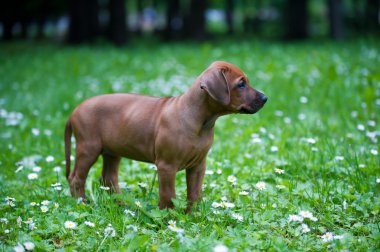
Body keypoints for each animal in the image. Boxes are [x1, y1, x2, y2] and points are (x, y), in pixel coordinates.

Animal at [64, 61, 268, 211]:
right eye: (241, 84)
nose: (265, 98)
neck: (201, 121)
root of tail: (74, 110)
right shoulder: (166, 166)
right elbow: (168, 195)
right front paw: (168, 217)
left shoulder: (198, 165)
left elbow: (195, 193)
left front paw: (193, 215)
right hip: (88, 147)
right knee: (76, 178)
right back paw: (82, 204)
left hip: (112, 151)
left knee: (108, 178)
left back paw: (121, 204)